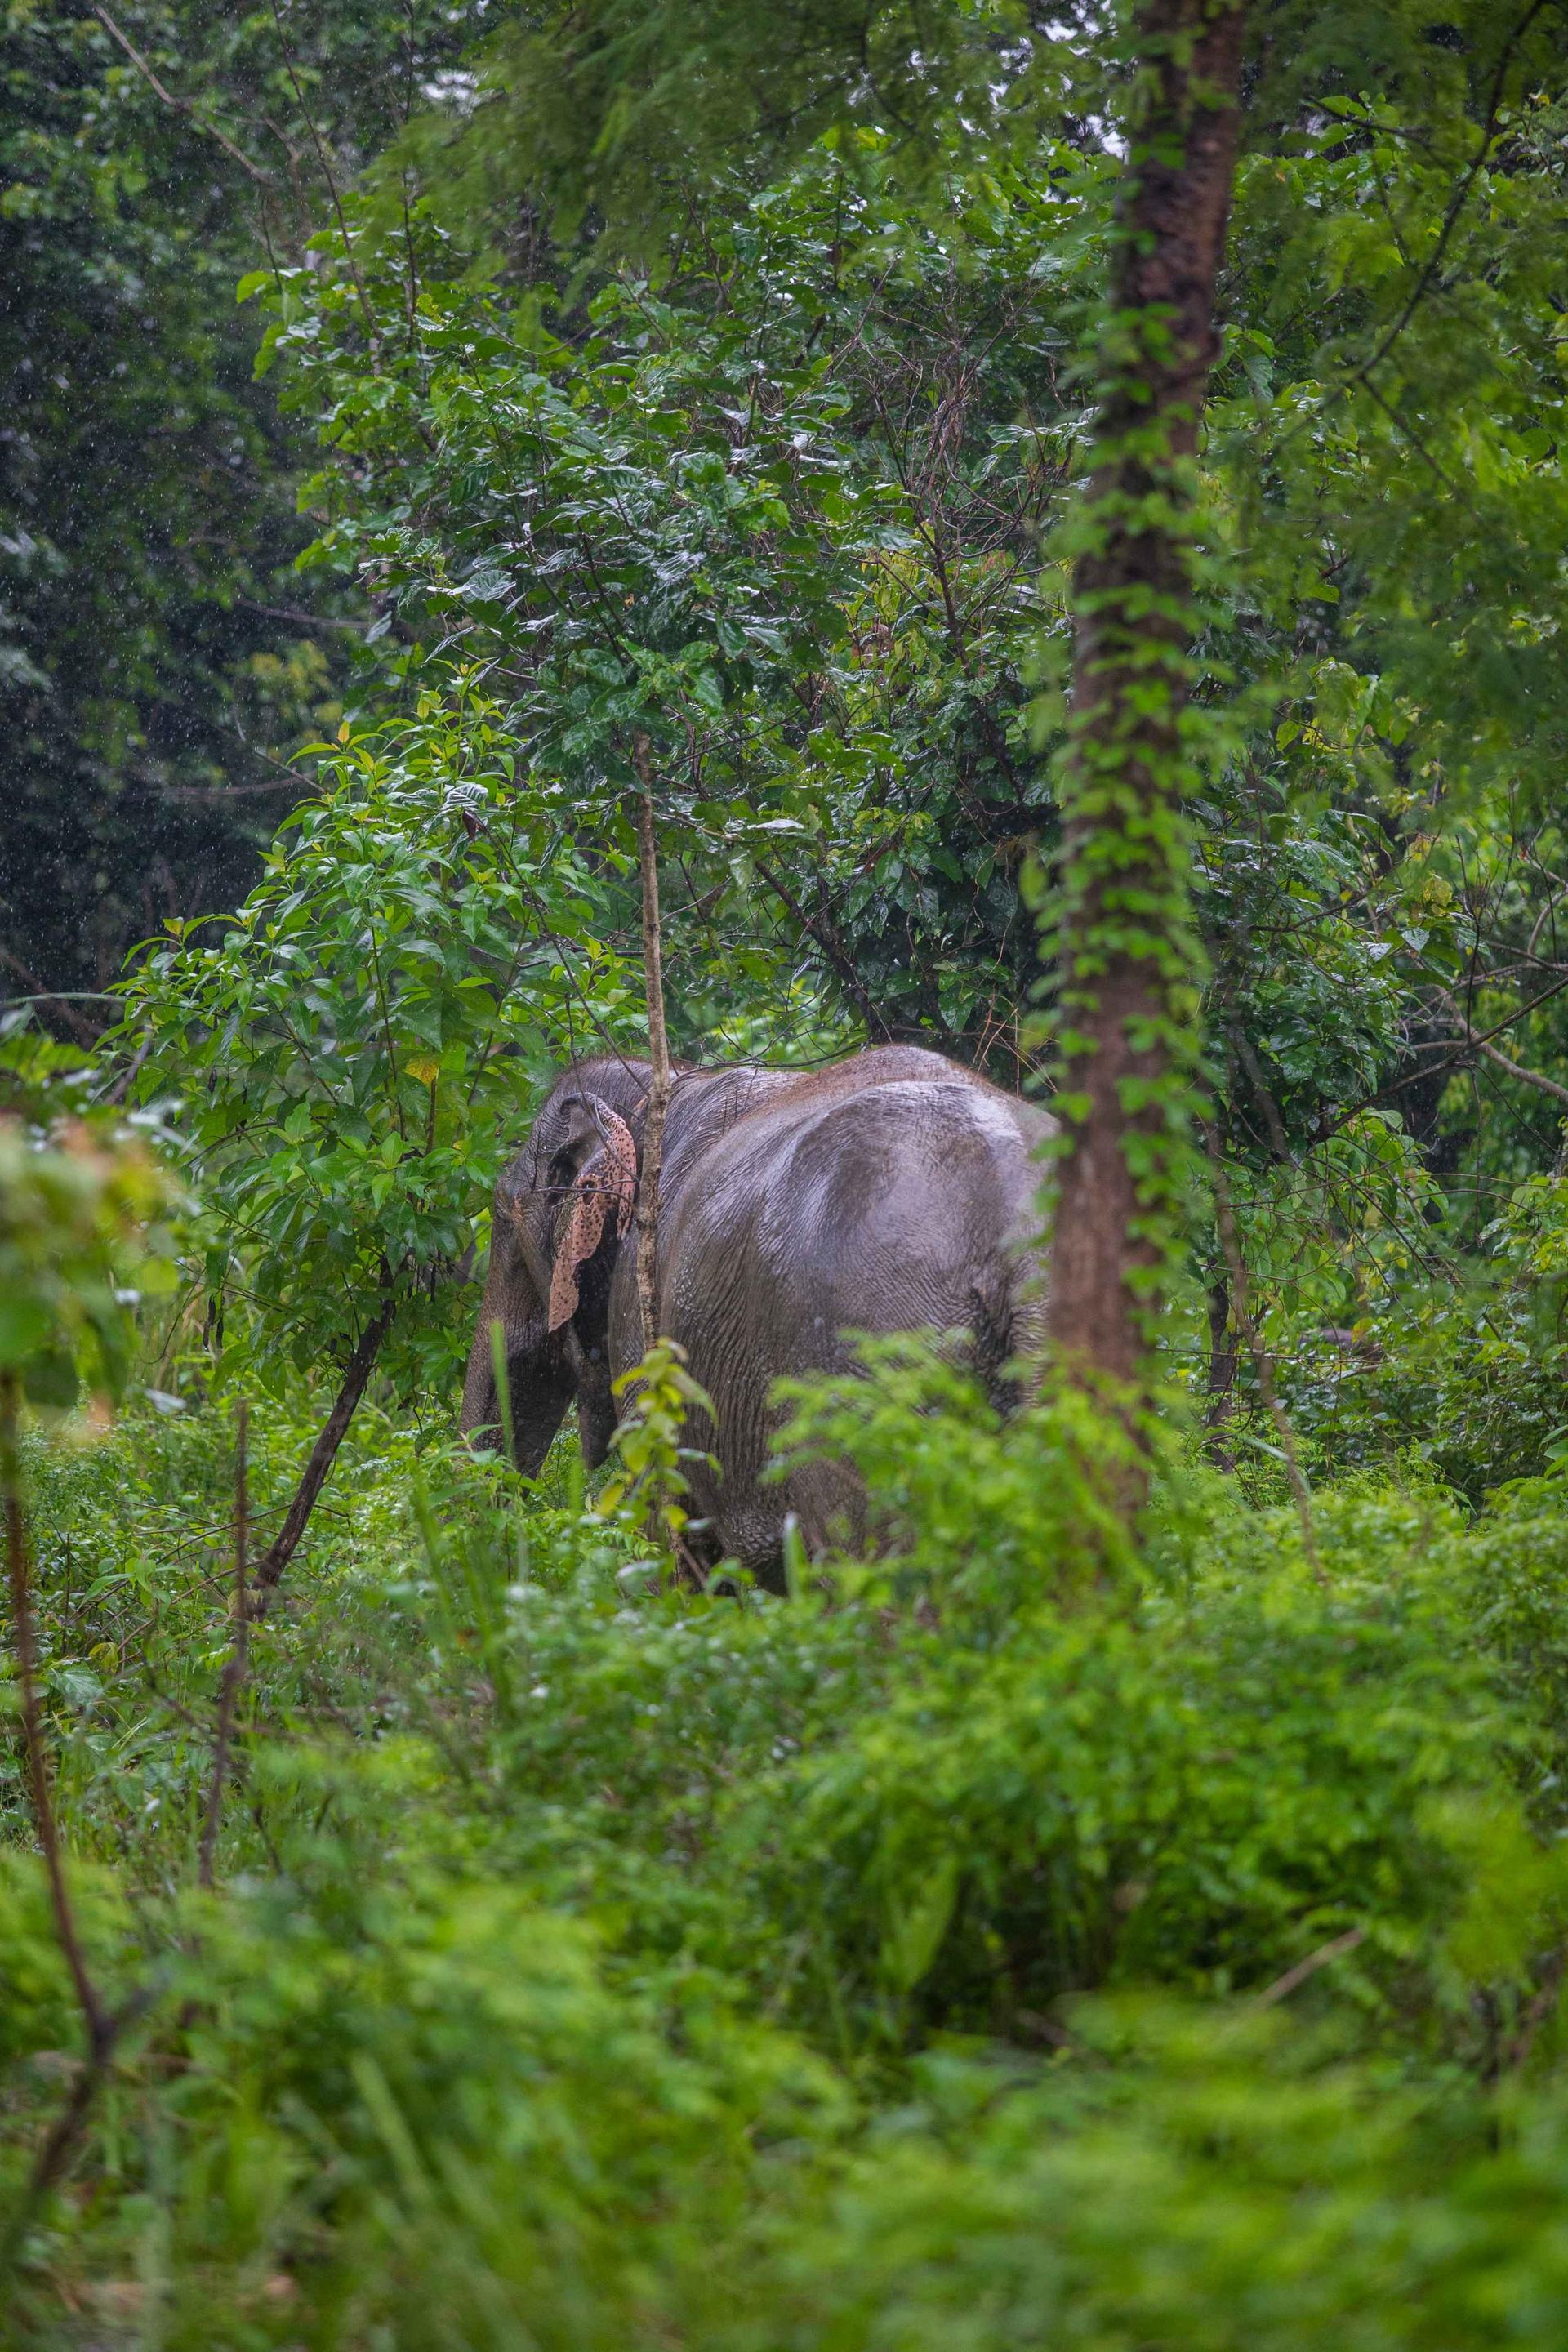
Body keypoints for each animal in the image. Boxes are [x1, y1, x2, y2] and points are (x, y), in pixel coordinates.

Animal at [465, 1044, 1053, 1580]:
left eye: (503, 1221)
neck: (660, 1081)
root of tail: (1018, 1228)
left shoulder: (643, 1322)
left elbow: (664, 1525)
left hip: (871, 1365)